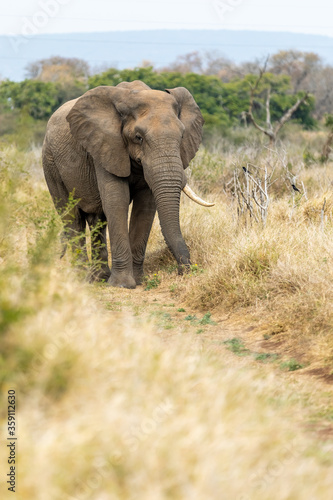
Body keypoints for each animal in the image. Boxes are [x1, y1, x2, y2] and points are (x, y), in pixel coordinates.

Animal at [42, 79, 213, 290]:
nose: (185, 271)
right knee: (72, 217)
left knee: (98, 220)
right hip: (50, 162)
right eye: (138, 137)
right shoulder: (106, 146)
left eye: (182, 136)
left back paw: (100, 277)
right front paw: (122, 285)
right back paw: (81, 278)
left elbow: (145, 206)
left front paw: (138, 281)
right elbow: (117, 201)